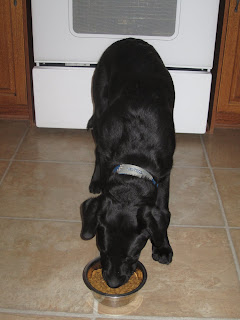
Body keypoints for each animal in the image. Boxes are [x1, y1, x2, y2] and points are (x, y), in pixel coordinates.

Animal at [80, 38, 174, 288]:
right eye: (101, 249)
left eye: (133, 255)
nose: (112, 283)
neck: (134, 156)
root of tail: (130, 39)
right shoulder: (106, 150)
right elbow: (100, 157)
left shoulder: (165, 173)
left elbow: (163, 210)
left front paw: (163, 247)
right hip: (100, 99)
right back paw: (95, 182)